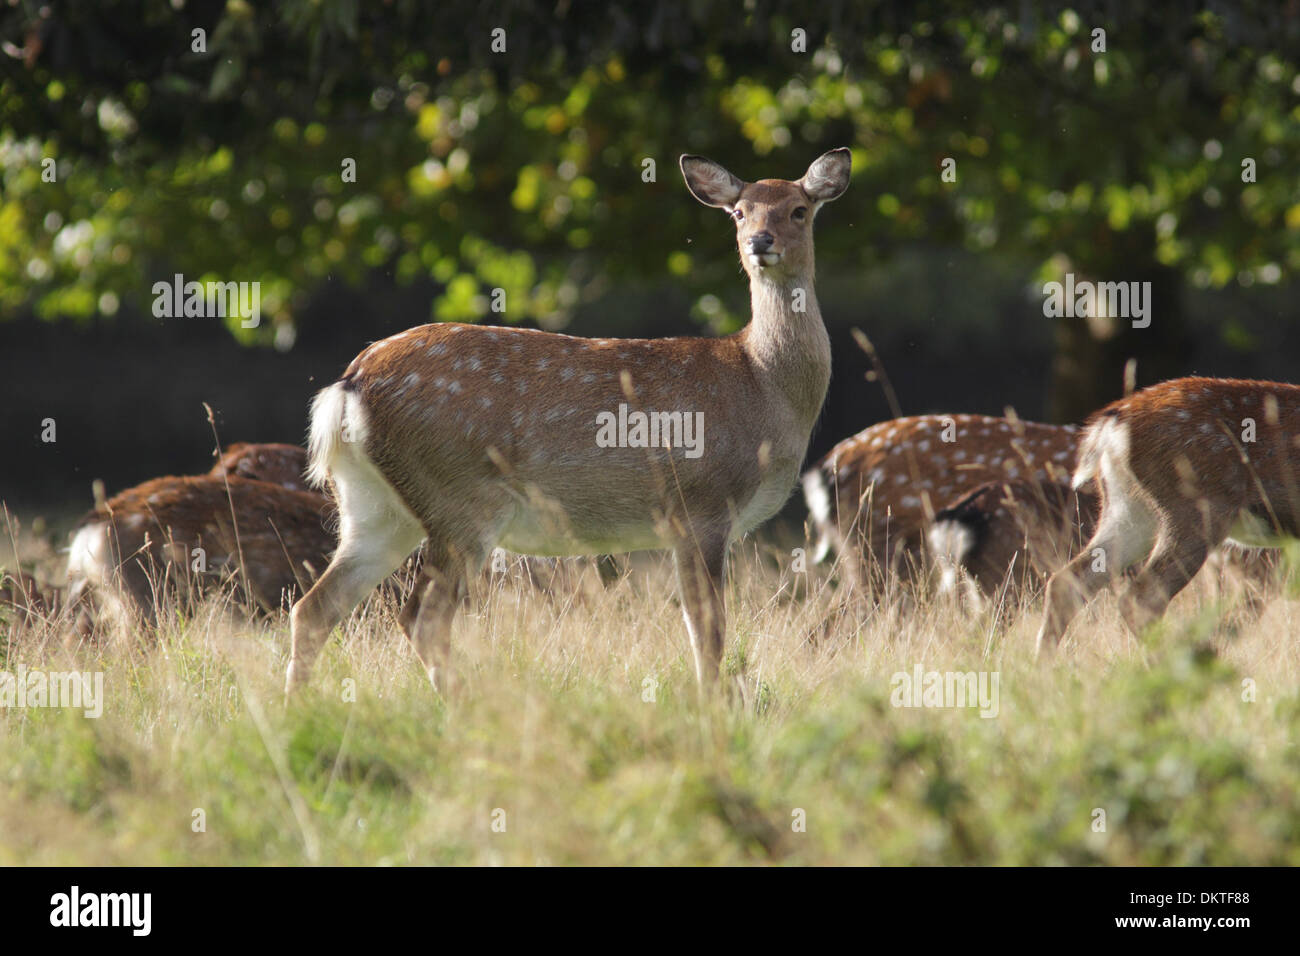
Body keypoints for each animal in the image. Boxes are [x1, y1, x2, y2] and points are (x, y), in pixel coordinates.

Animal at [284, 145, 852, 697]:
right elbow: (708, 633)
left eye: (798, 209)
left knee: (314, 607)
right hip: (460, 498)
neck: (762, 385)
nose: (760, 241)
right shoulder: (701, 505)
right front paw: (713, 709)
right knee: (421, 616)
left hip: (374, 505)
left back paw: (299, 710)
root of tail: (350, 384)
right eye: (739, 211)